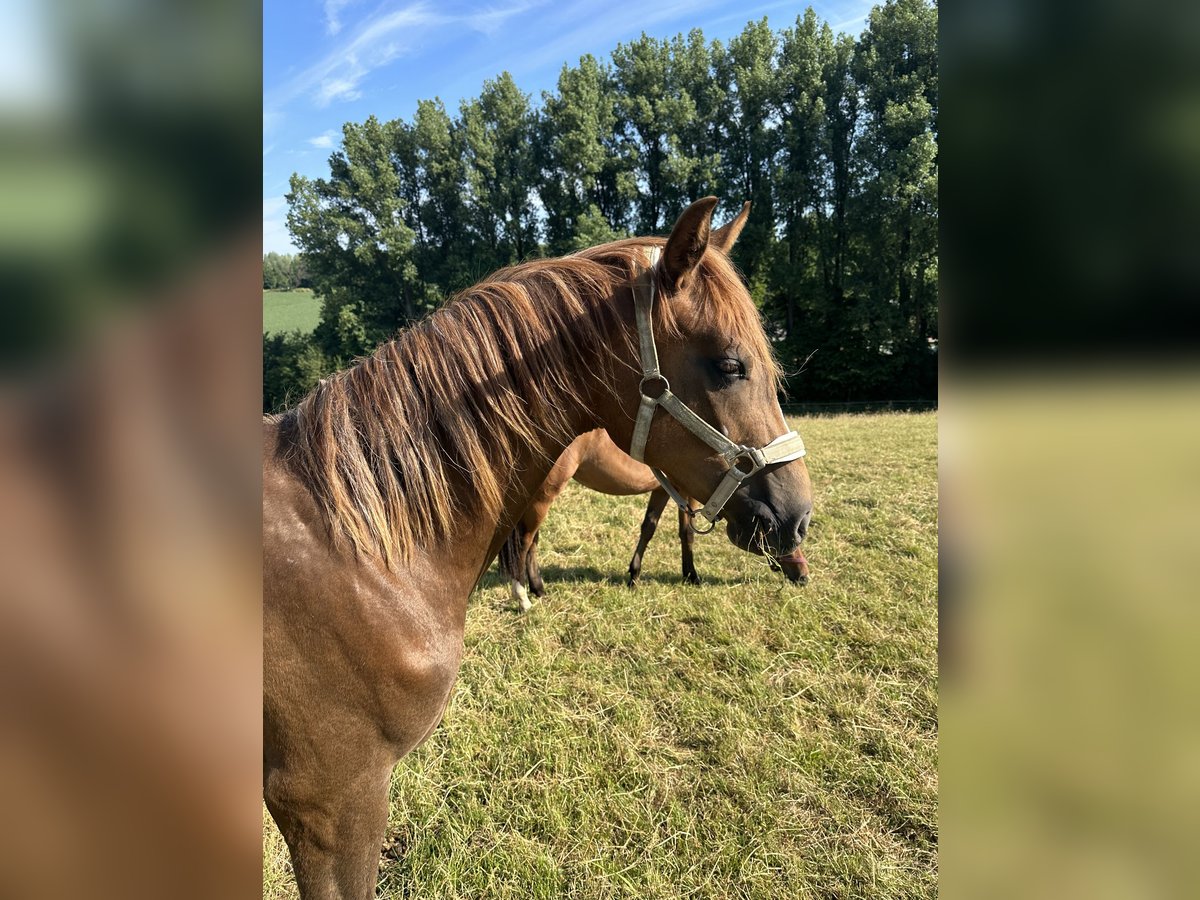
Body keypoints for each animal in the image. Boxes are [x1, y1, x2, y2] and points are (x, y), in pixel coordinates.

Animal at [501, 429, 811, 614]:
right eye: (777, 531)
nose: (803, 576)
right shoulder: (684, 492)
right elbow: (686, 533)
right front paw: (691, 575)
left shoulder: (663, 491)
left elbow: (649, 527)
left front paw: (634, 574)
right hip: (545, 493)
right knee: (526, 540)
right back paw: (524, 595)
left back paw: (538, 587)